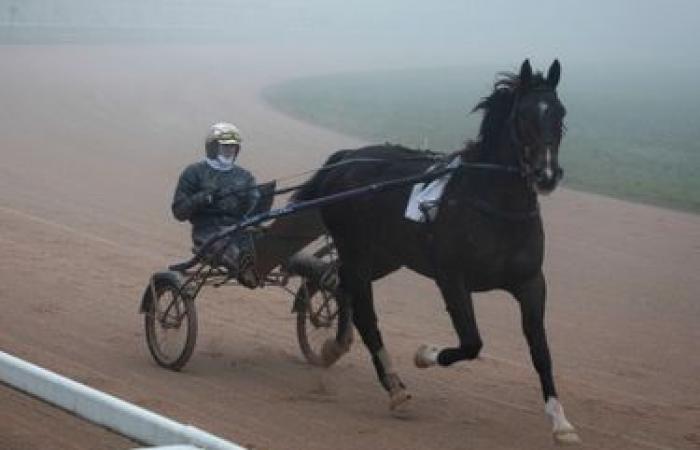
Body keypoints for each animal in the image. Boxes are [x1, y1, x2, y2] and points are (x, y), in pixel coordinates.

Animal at [292, 59, 576, 442]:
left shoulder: (531, 281)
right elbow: (471, 343)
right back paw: (395, 386)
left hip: (384, 255)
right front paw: (424, 354)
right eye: (523, 116)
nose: (546, 174)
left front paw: (560, 421)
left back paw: (333, 344)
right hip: (357, 250)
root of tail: (345, 157)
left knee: (338, 282)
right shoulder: (452, 277)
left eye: (560, 114)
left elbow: (541, 350)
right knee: (364, 311)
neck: (494, 205)